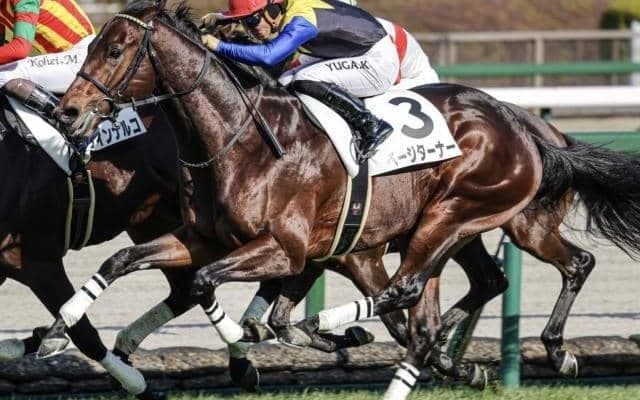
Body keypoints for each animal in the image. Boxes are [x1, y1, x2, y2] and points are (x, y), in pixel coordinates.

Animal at [41, 2, 640, 399]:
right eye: (91, 46)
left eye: (115, 49)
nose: (67, 111)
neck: (238, 139)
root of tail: (522, 124)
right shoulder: (204, 237)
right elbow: (123, 260)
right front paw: (55, 334)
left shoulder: (287, 248)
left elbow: (210, 285)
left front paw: (246, 349)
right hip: (462, 227)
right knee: (488, 283)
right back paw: (504, 354)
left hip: (459, 217)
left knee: (412, 293)